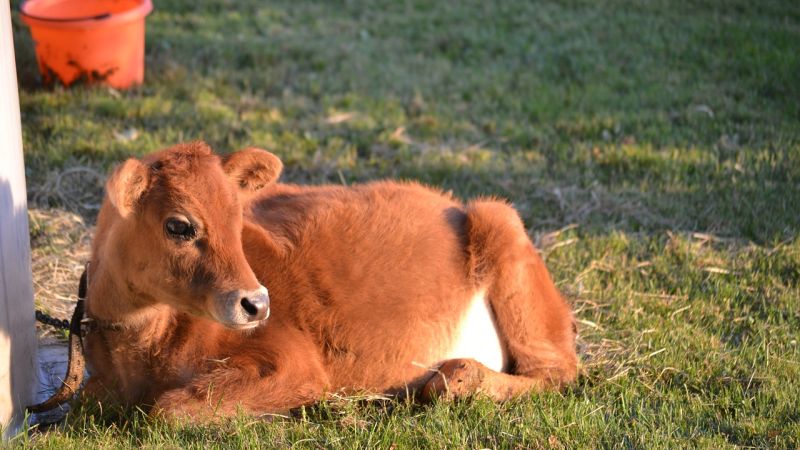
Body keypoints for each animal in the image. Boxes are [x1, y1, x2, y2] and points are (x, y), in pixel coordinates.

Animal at [82, 141, 578, 419]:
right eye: (178, 226)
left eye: (238, 218)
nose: (257, 303)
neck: (144, 350)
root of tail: (448, 201)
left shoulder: (296, 362)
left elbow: (169, 410)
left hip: (503, 228)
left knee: (557, 373)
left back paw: (459, 376)